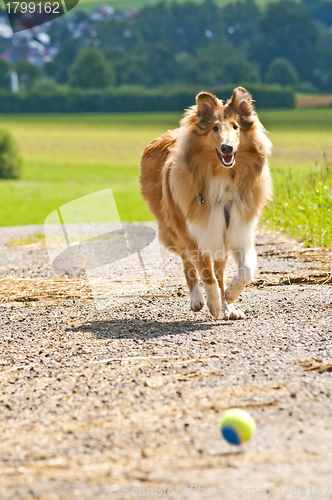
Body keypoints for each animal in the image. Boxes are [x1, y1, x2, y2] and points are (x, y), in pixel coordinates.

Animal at [140, 87, 272, 318]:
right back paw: (197, 299)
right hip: (176, 229)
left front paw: (229, 297)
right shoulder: (197, 233)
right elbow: (206, 274)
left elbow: (246, 269)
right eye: (215, 128)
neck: (223, 178)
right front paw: (214, 304)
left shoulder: (238, 229)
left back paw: (229, 307)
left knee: (219, 272)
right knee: (188, 265)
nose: (227, 148)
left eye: (236, 127)